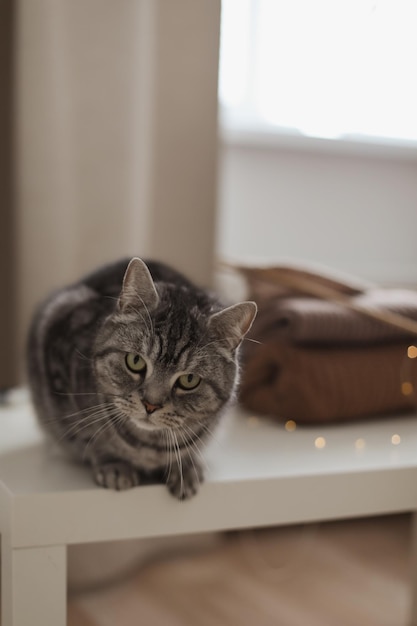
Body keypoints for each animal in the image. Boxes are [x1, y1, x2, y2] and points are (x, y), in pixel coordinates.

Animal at [26, 258, 256, 498]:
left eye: (189, 380)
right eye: (135, 361)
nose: (150, 405)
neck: (149, 446)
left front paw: (185, 466)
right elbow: (89, 438)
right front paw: (114, 464)